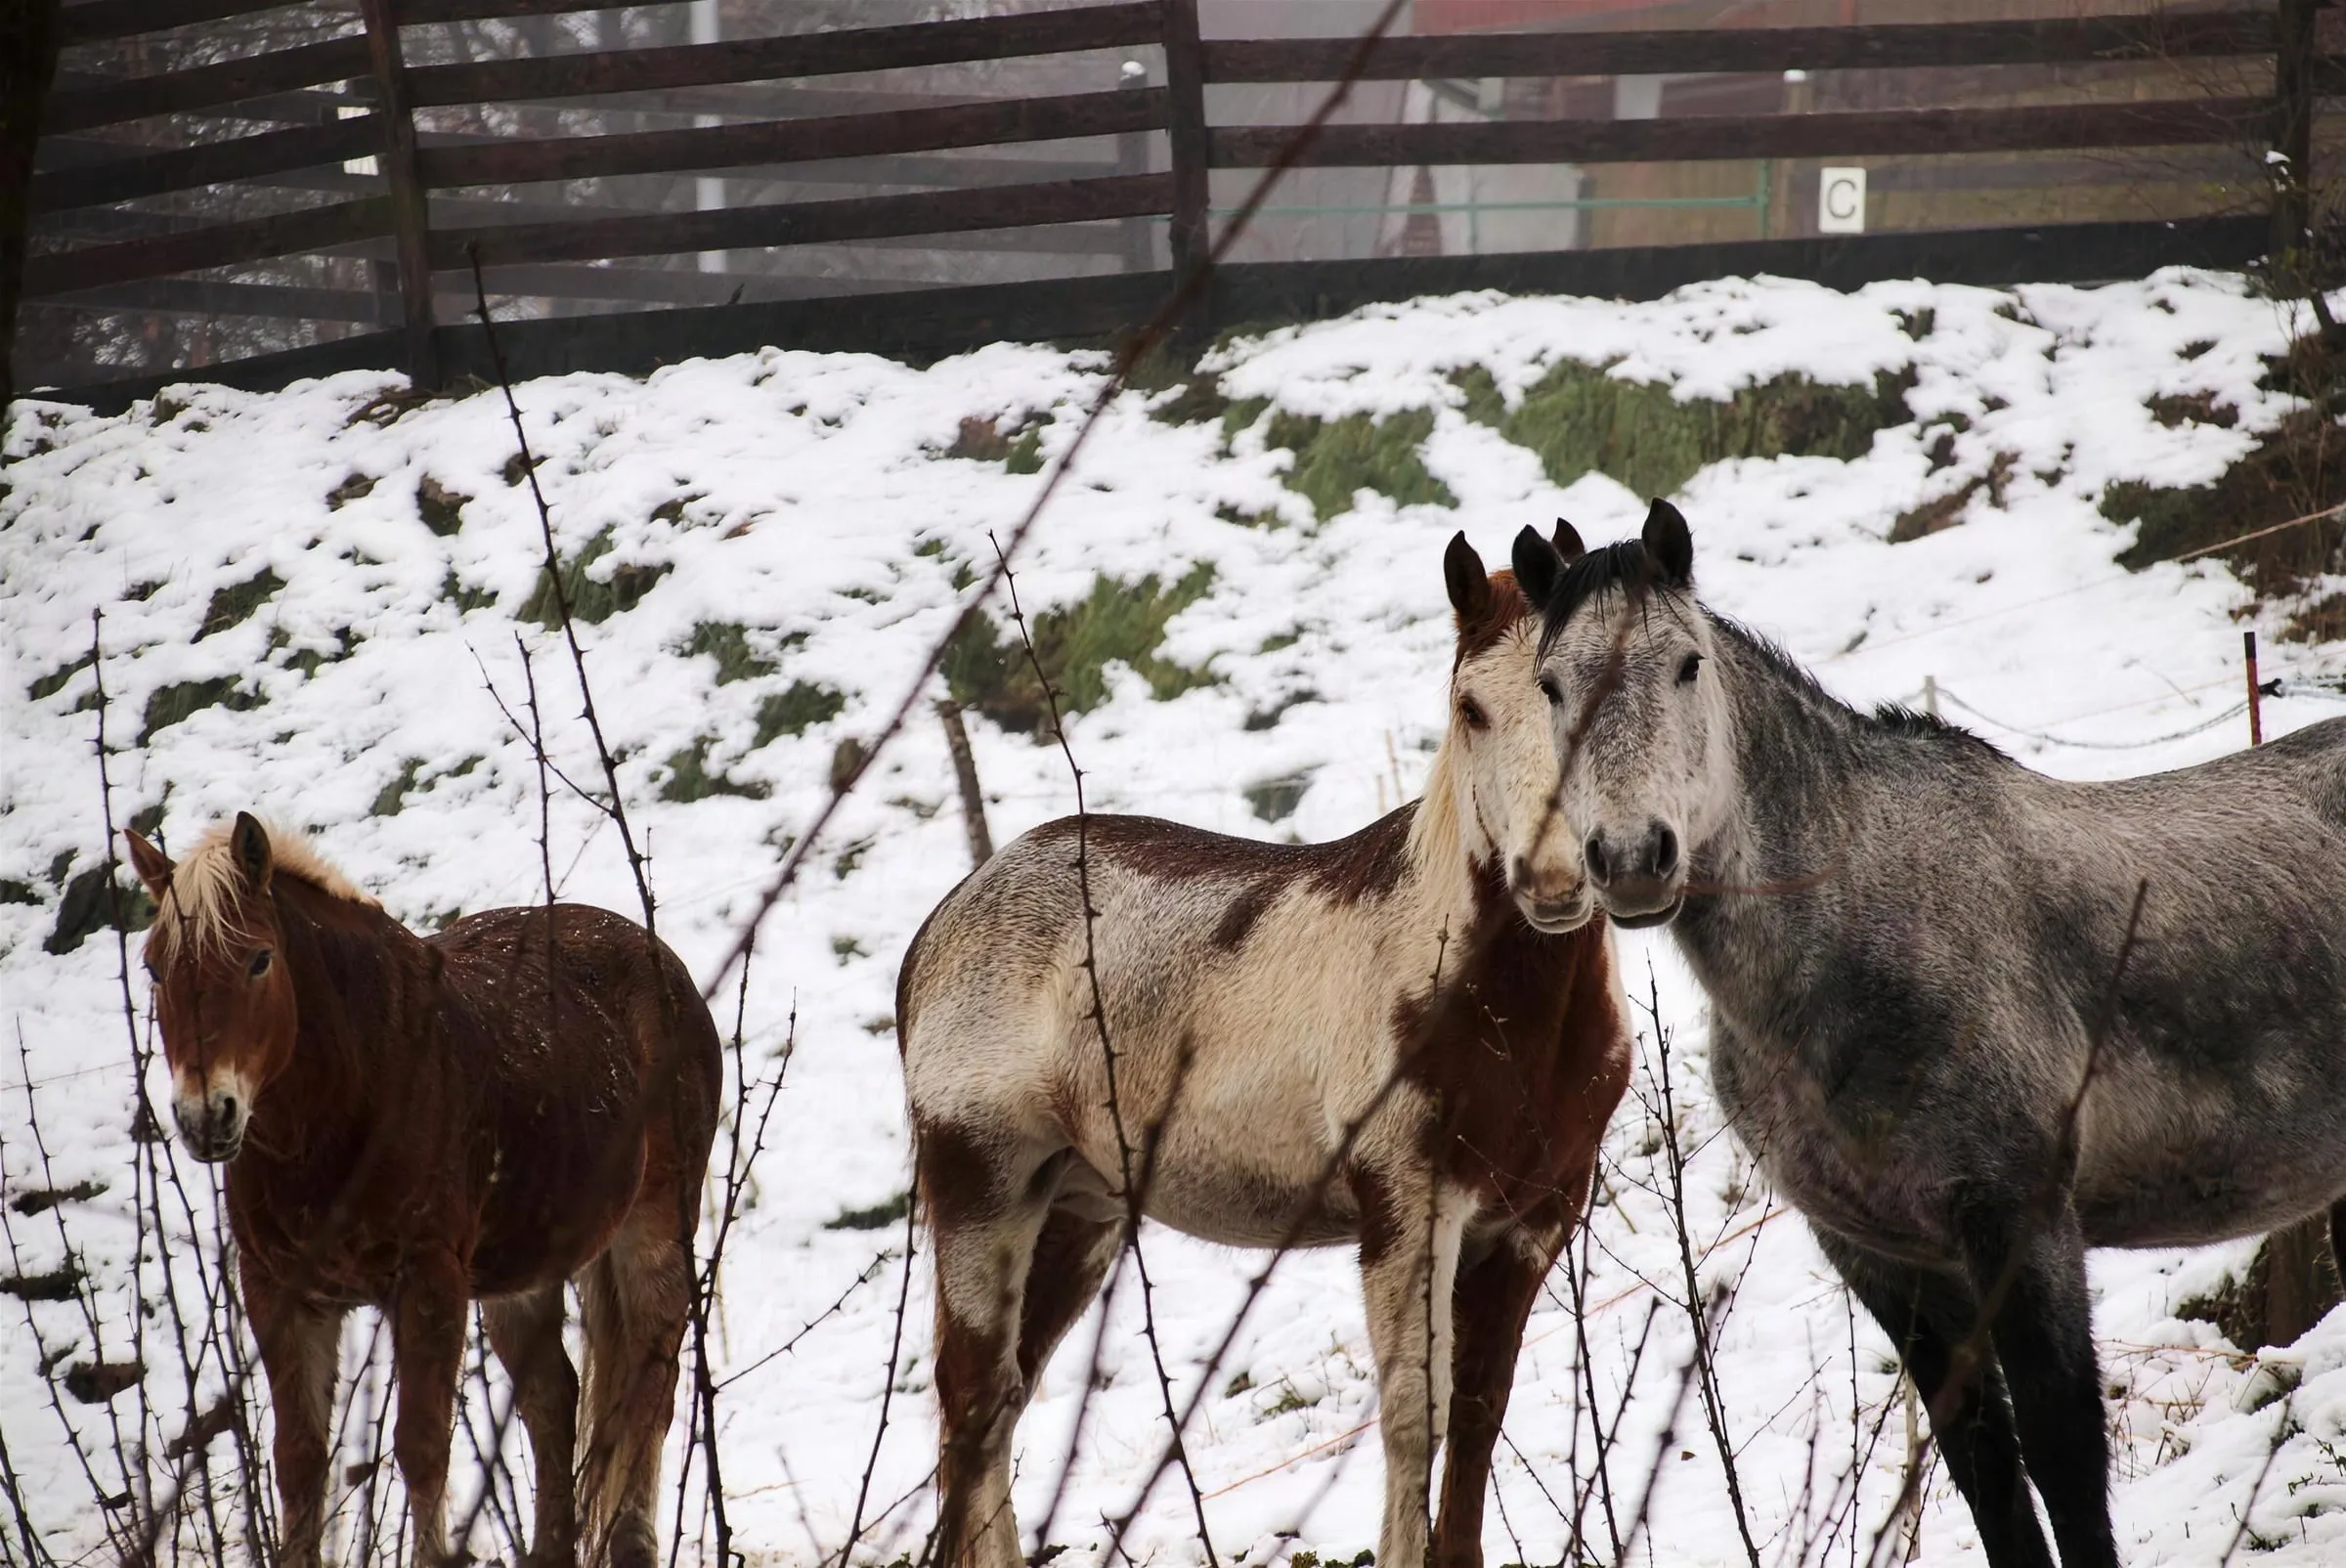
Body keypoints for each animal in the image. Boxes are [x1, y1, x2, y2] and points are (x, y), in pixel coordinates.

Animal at [124, 815, 722, 1568]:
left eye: (259, 959)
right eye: (154, 967)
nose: (207, 1115)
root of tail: (662, 962)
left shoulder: (429, 1282)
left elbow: (422, 1448)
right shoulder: (279, 1291)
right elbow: (299, 1460)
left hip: (655, 1234)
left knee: (648, 1390)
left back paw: (632, 1542)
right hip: (522, 1274)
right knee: (554, 1402)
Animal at [897, 532, 1632, 1568]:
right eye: (1470, 708)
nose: (1555, 880)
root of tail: (942, 921)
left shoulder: (1534, 1220)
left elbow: (1479, 1416)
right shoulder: (1406, 1211)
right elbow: (1415, 1418)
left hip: (1075, 1213)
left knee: (999, 1410)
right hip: (980, 1193)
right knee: (969, 1413)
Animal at [1512, 499, 2346, 1568]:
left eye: (1686, 665)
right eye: (1551, 685)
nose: (1630, 858)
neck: (1867, 925)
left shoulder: (2019, 1222)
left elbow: (2065, 1462)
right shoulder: (1881, 1255)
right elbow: (1986, 1473)